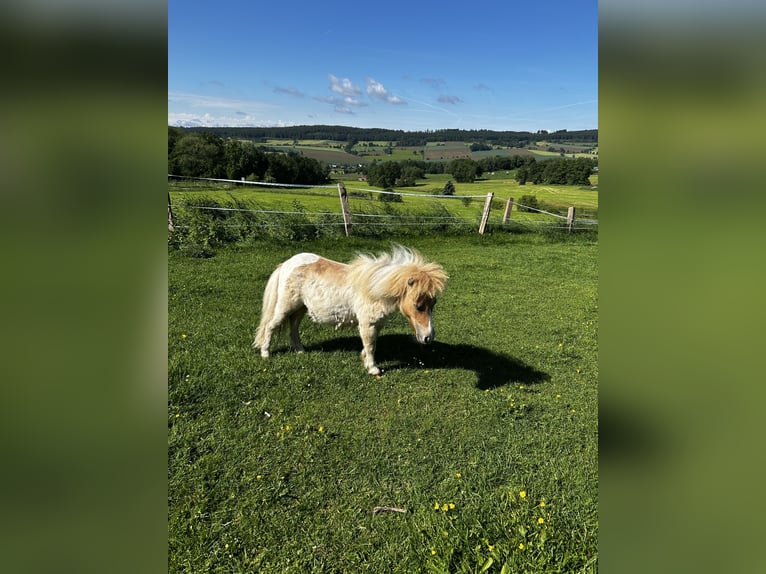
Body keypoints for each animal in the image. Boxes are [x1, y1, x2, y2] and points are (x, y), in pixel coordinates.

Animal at [253, 246, 448, 375]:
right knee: (270, 326)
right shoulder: (367, 323)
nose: (428, 337)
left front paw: (365, 359)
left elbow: (371, 343)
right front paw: (373, 368)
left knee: (293, 328)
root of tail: (286, 264)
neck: (374, 289)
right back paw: (265, 354)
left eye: (433, 304)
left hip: (300, 308)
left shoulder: (376, 324)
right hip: (285, 307)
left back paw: (300, 351)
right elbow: (370, 344)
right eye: (418, 306)